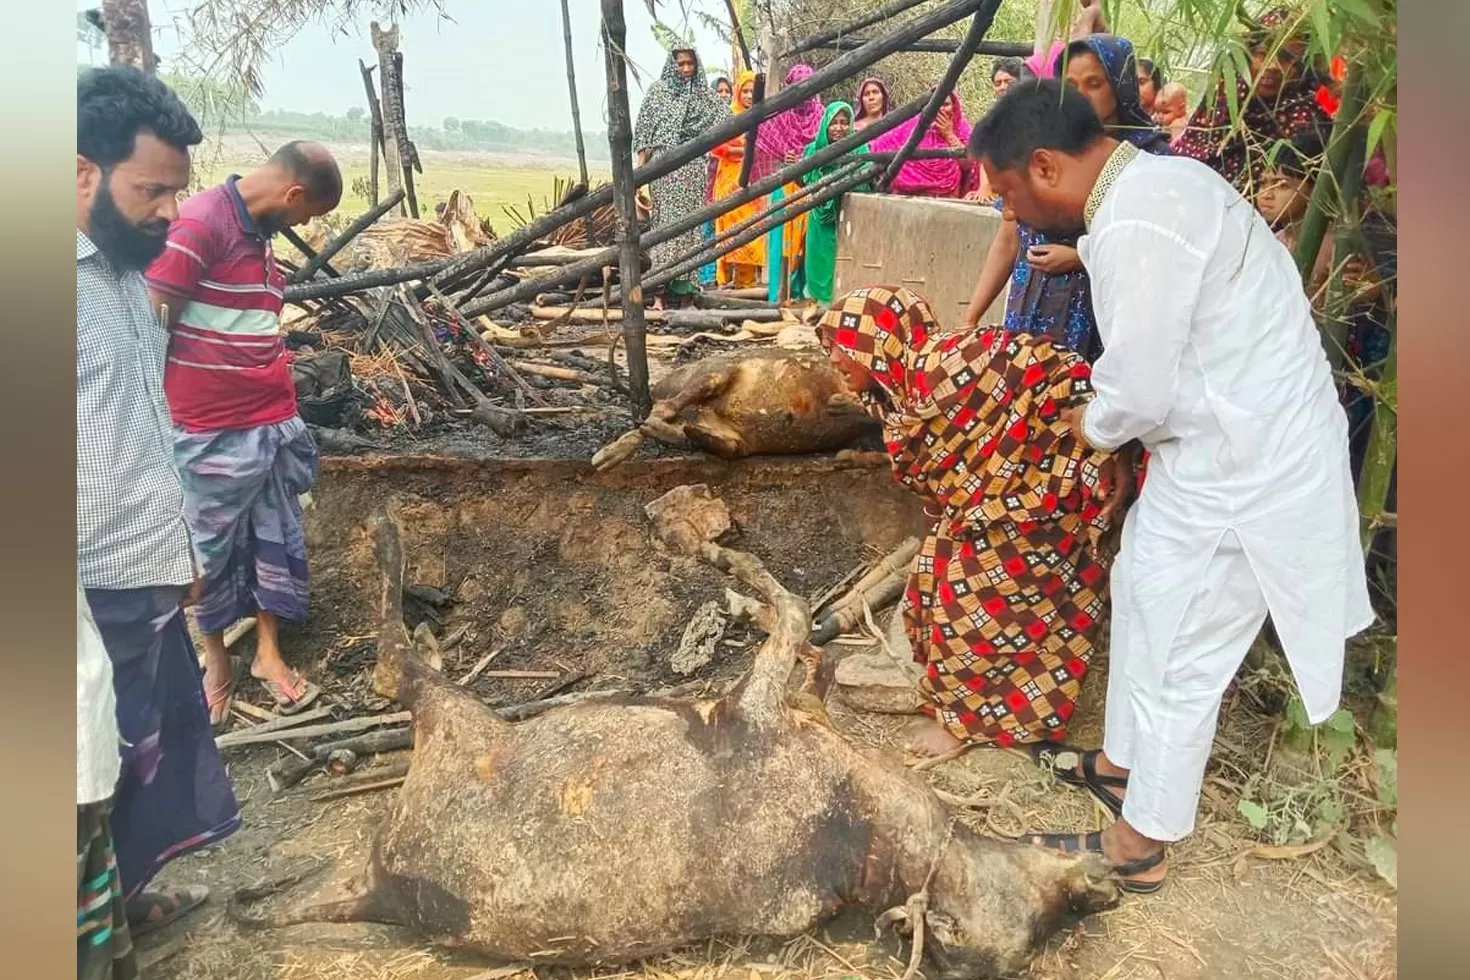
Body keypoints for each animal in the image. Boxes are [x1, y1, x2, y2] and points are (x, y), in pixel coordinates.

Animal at [235, 490, 1117, 980]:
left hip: (455, 720)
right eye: (1056, 909)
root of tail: (381, 884)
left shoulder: (753, 708)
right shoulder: (776, 704)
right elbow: (804, 634)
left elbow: (788, 607)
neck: (870, 841)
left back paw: (389, 544)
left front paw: (712, 556)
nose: (1099, 884)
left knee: (396, 666)